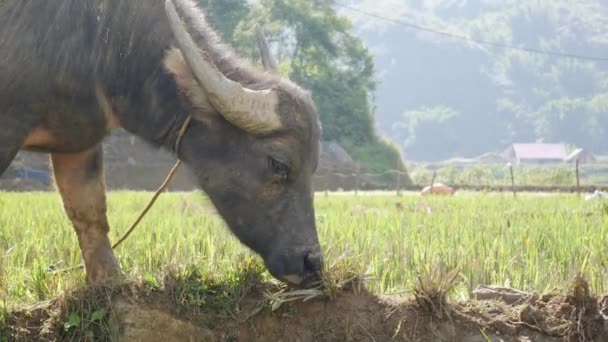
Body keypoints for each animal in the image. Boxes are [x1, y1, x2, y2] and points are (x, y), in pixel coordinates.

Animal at [0, 0, 324, 288]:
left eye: (313, 169)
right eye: (278, 163)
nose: (312, 263)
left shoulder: (79, 142)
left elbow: (90, 210)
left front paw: (109, 281)